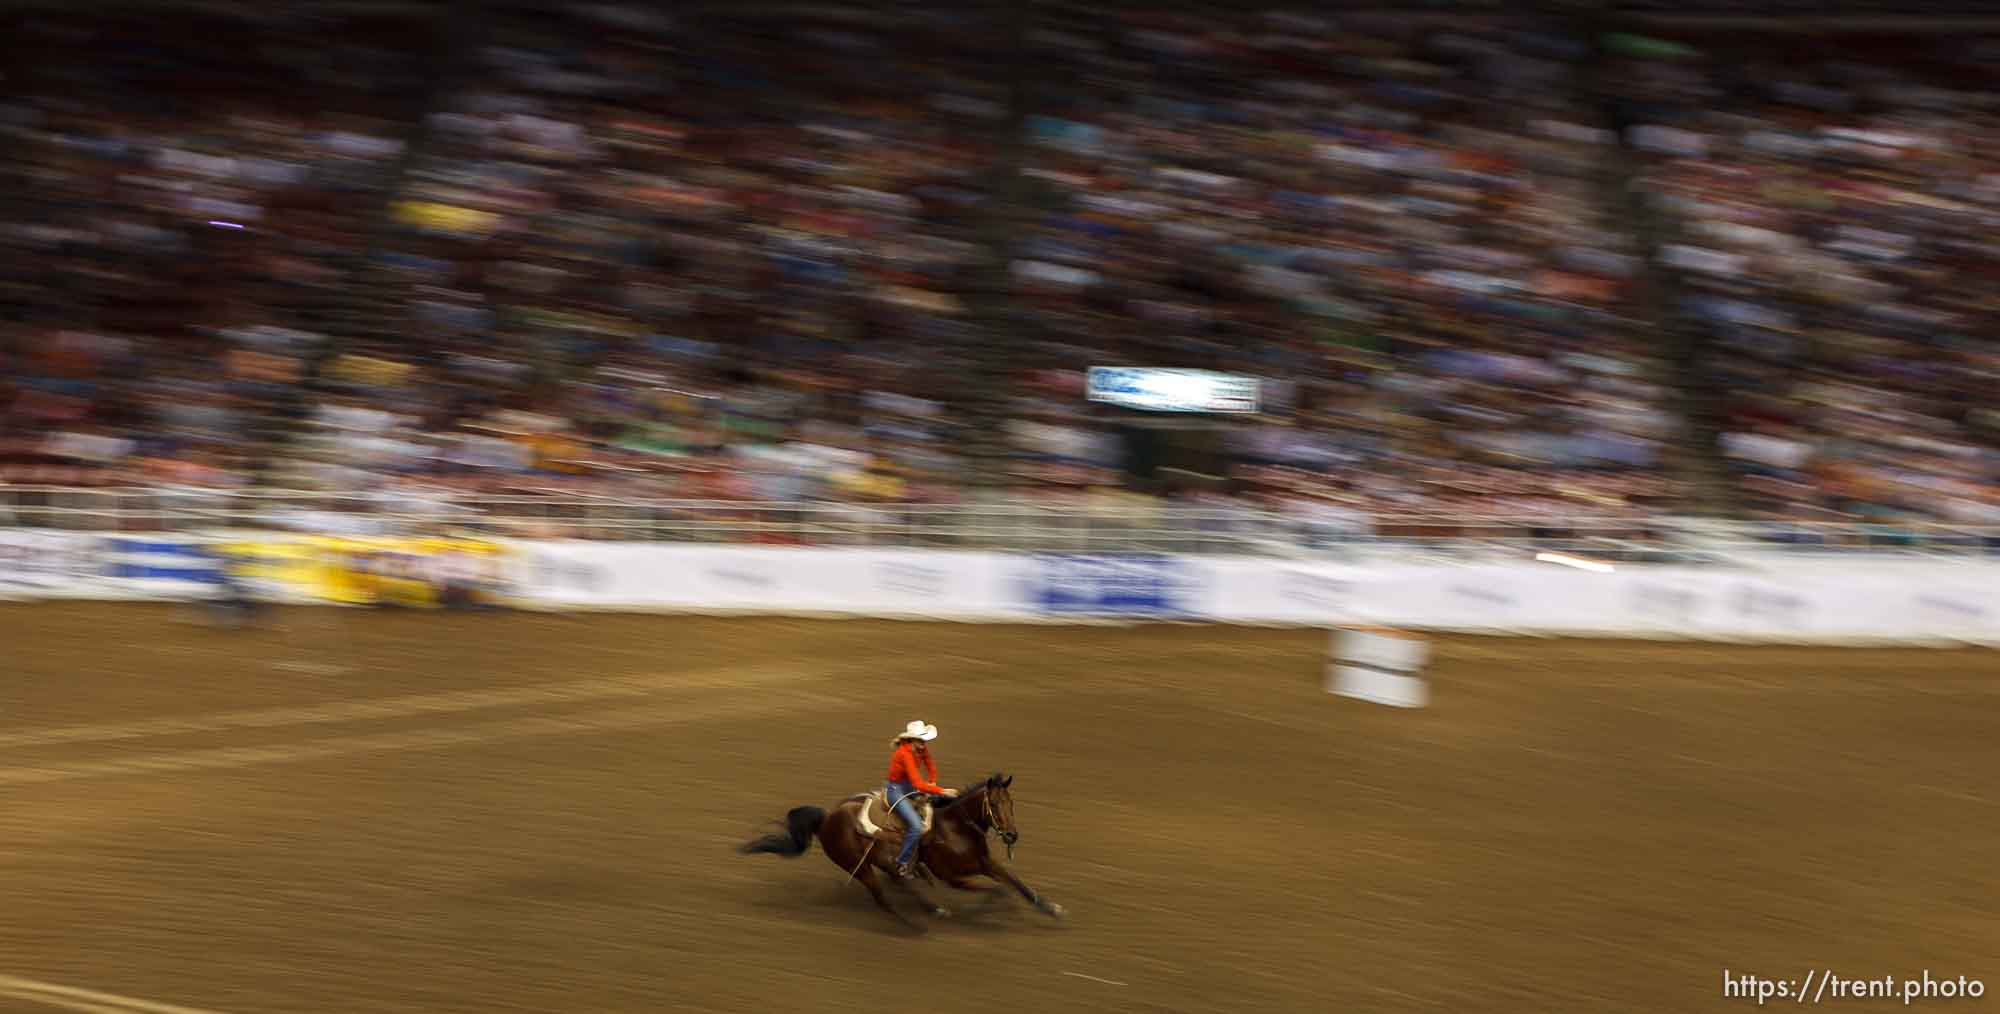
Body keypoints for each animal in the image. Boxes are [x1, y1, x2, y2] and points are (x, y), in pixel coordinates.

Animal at [744, 772, 1064, 932]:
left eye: (1012, 803)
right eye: (994, 804)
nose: (1012, 835)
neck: (955, 826)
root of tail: (825, 818)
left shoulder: (986, 862)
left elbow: (1018, 885)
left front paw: (1052, 908)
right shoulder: (953, 877)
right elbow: (999, 891)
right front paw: (983, 910)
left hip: (881, 863)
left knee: (898, 882)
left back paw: (929, 906)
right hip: (858, 867)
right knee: (882, 898)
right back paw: (919, 922)